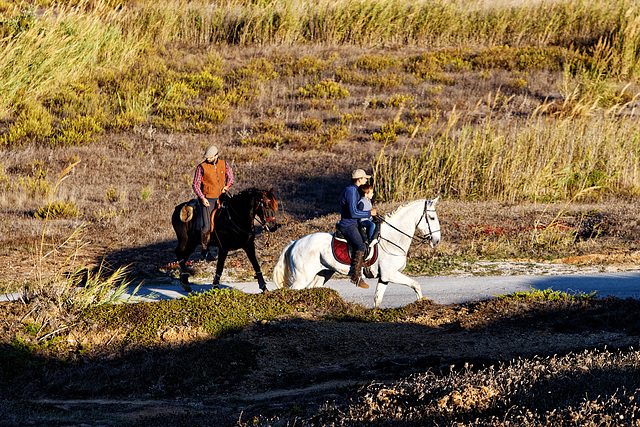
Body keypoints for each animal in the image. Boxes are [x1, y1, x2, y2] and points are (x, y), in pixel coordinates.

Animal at [270, 197, 440, 308]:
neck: (392, 238)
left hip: (323, 273)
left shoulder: (384, 278)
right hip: (301, 278)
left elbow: (377, 300)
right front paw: (422, 304)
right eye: (431, 217)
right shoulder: (391, 274)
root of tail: (295, 243)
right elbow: (416, 285)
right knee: (292, 292)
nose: (437, 240)